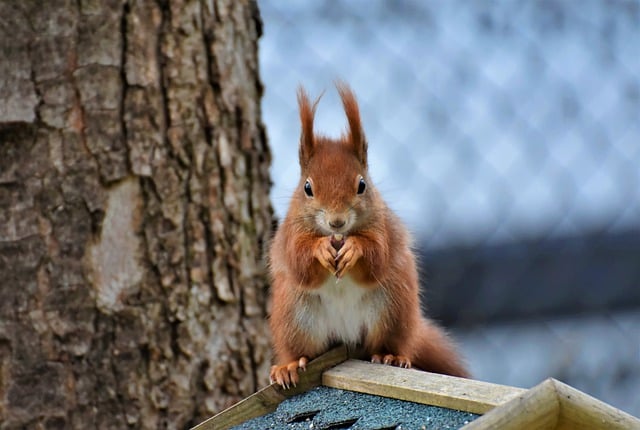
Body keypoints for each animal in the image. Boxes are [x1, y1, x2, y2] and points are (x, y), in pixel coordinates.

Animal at [268, 83, 469, 387]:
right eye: (307, 188)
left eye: (362, 184)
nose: (337, 222)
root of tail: (346, 337)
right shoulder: (291, 234)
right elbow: (299, 262)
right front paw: (320, 249)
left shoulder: (383, 228)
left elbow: (377, 258)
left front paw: (354, 248)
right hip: (294, 316)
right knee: (302, 350)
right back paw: (290, 366)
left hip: (393, 308)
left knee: (389, 344)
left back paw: (391, 357)